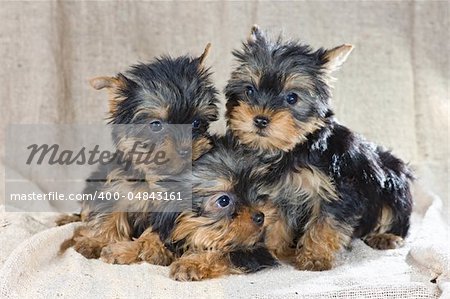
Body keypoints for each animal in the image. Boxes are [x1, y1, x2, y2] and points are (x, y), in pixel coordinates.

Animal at [61, 44, 220, 260]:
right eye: (156, 125)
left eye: (196, 123)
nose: (185, 149)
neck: (154, 174)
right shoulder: (117, 185)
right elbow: (110, 211)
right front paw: (98, 240)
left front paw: (151, 247)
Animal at [100, 136, 280, 282]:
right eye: (224, 201)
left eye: (255, 191)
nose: (260, 216)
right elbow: (154, 234)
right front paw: (127, 248)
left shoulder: (256, 250)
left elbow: (223, 253)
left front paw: (190, 263)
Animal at [227, 27, 414, 274]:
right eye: (249, 90)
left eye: (292, 97)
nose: (260, 119)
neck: (294, 149)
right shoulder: (280, 192)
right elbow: (277, 221)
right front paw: (275, 249)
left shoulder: (340, 190)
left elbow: (326, 223)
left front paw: (314, 258)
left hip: (392, 180)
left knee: (395, 213)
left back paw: (386, 236)